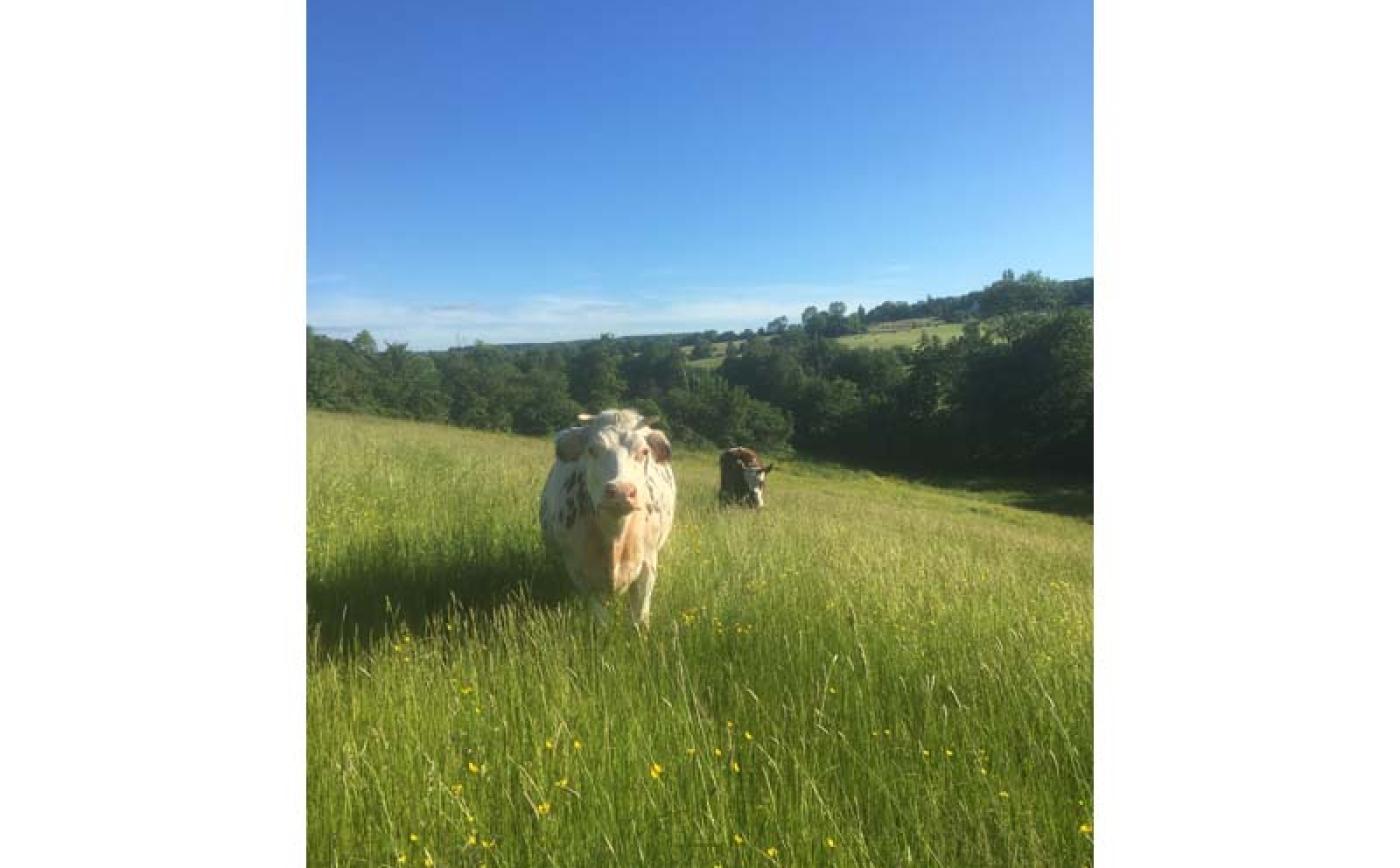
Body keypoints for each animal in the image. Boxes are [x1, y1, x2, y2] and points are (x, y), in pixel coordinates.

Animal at [537, 411, 674, 627]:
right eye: (592, 450)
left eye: (644, 451)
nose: (621, 491)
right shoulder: (579, 569)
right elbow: (600, 617)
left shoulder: (648, 564)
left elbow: (640, 615)